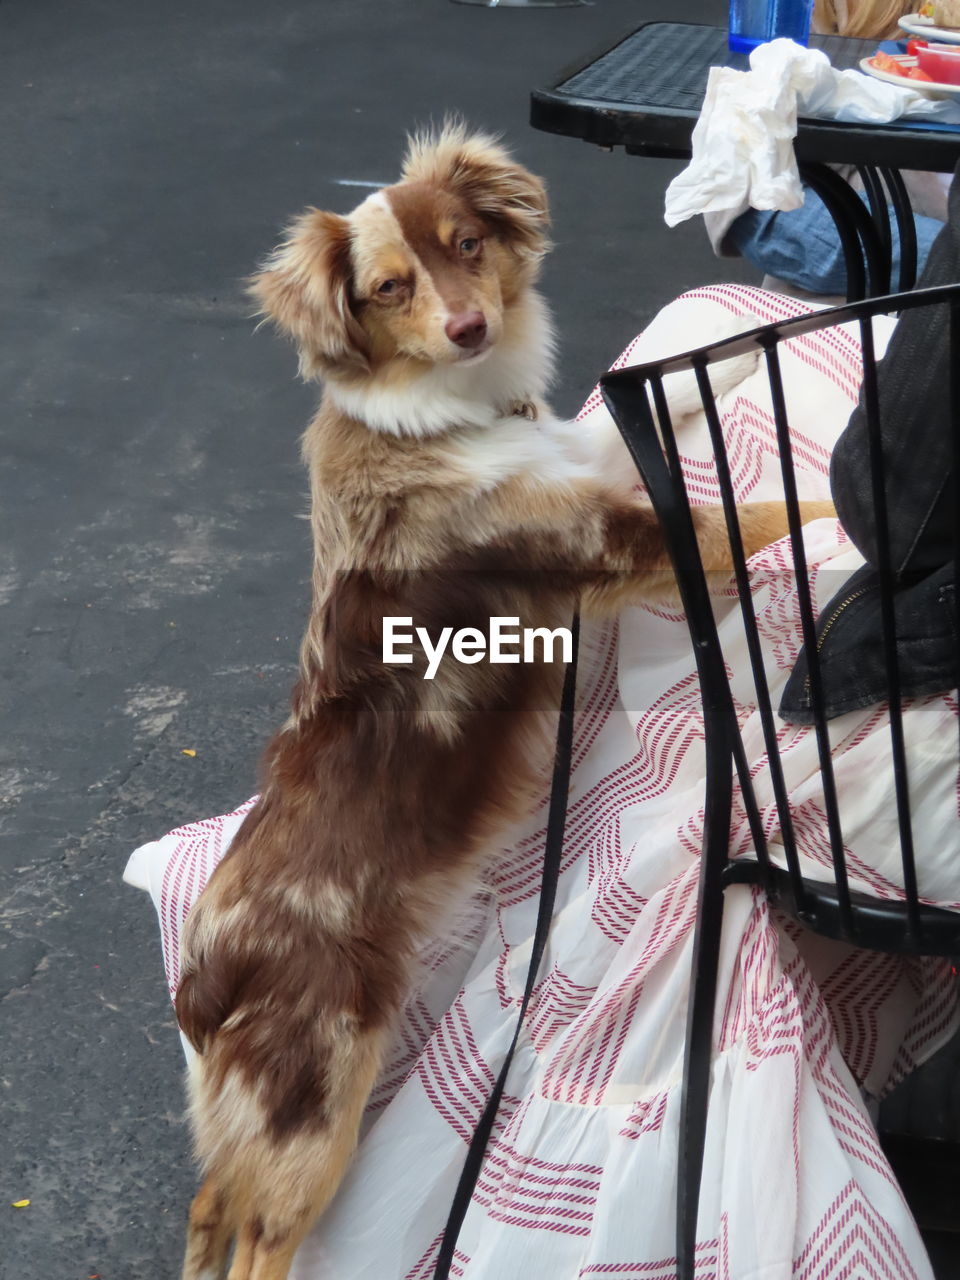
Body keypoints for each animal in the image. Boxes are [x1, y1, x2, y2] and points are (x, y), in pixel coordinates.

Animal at [176, 122, 824, 1280]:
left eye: (467, 242)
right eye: (387, 287)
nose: (468, 326)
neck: (446, 412)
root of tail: (202, 974)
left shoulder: (578, 468)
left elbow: (628, 415)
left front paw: (739, 351)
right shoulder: (612, 543)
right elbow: (764, 512)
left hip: (256, 1120)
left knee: (212, 1204)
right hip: (312, 1104)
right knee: (258, 1239)